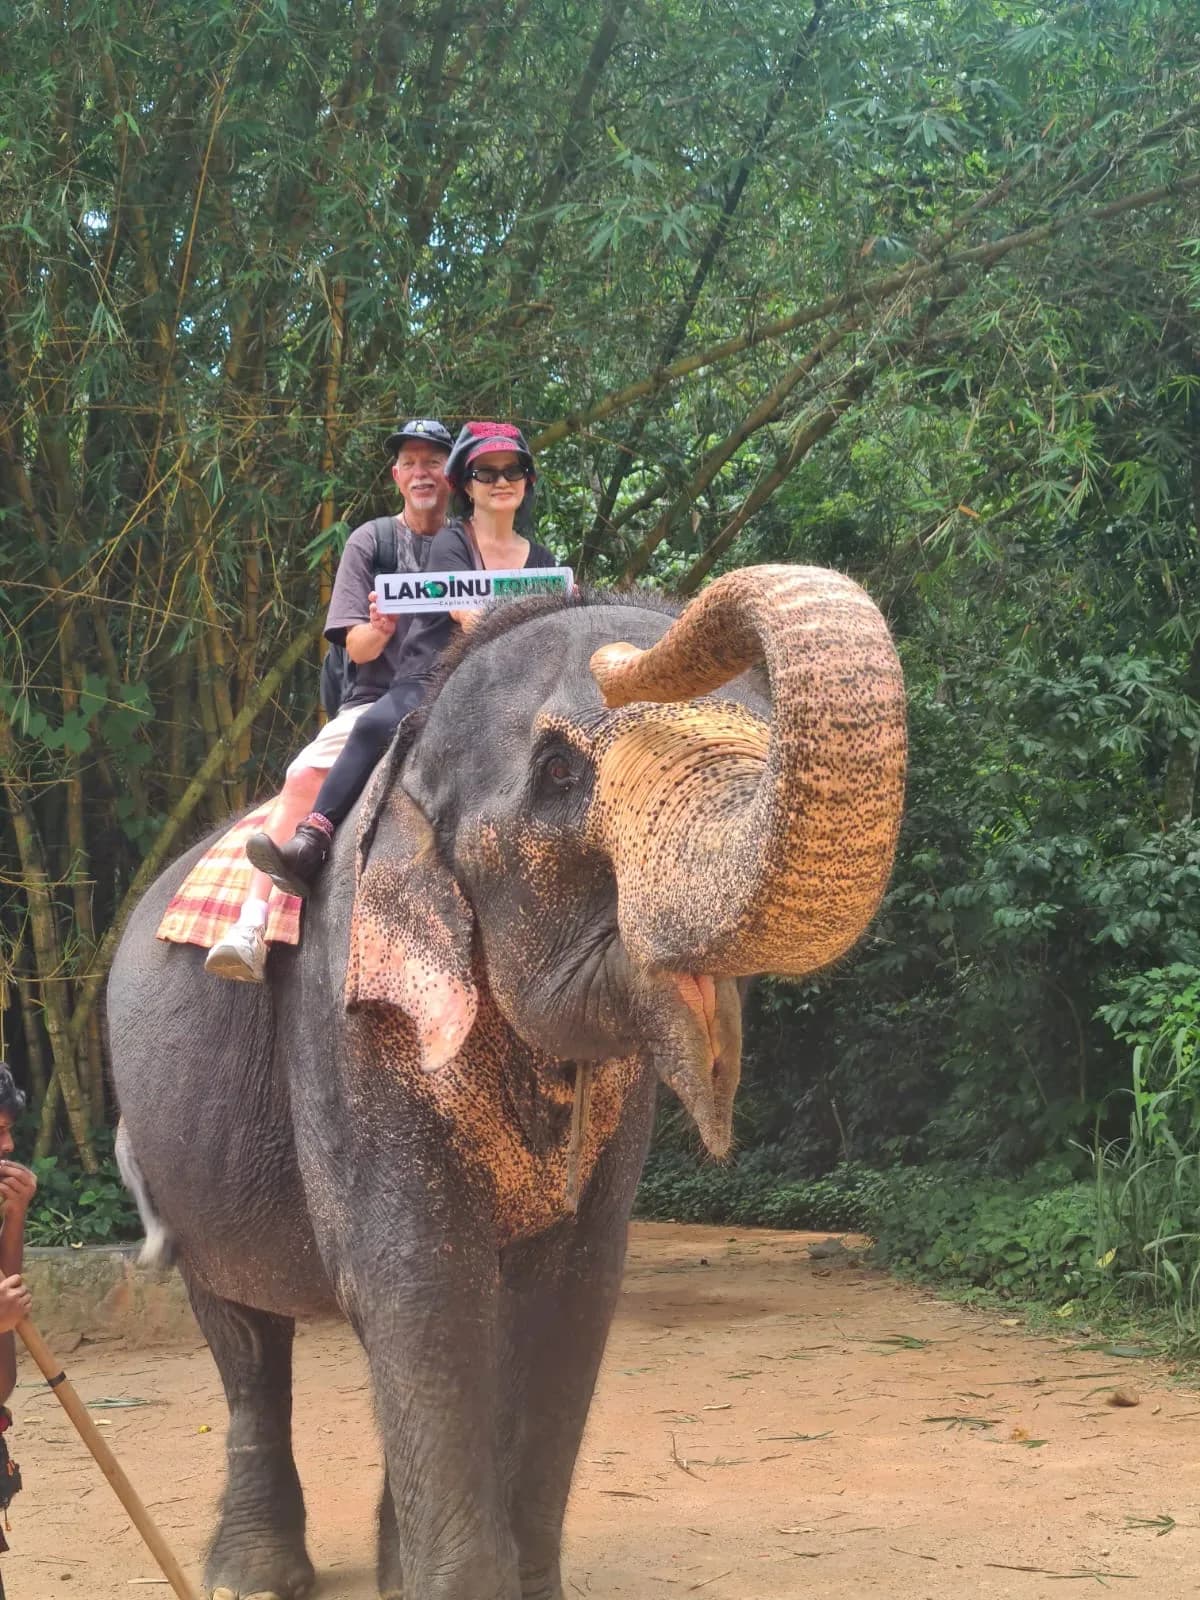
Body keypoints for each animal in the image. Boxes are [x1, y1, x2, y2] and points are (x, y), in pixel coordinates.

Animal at [107, 563, 906, 1600]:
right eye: (561, 773)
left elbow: (573, 1289)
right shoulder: (342, 1017)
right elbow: (417, 1283)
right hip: (175, 1149)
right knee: (244, 1332)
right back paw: (251, 1578)